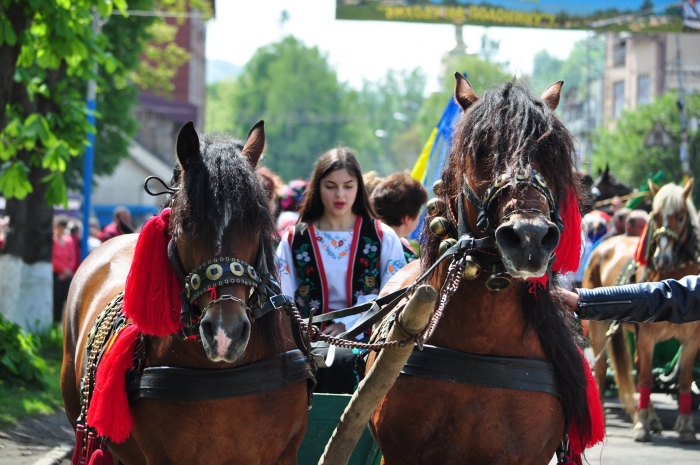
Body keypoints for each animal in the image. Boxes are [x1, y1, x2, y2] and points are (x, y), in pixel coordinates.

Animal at [584, 178, 700, 442]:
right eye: (655, 215)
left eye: (680, 217)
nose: (663, 258)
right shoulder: (646, 337)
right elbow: (645, 376)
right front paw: (641, 424)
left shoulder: (692, 340)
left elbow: (685, 378)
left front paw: (686, 426)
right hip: (599, 326)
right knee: (602, 367)